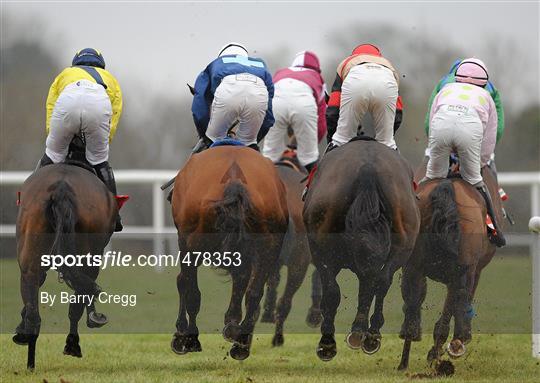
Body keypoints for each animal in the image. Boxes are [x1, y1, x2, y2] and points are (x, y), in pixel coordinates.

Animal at [171, 146, 288, 362]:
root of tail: (235, 179)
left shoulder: (186, 242)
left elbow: (185, 284)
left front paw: (182, 336)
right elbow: (241, 283)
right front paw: (232, 324)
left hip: (193, 243)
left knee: (191, 290)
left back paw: (190, 338)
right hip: (269, 248)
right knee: (253, 292)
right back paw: (241, 344)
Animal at [302, 139, 420, 364]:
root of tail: (368, 168)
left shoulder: (319, 252)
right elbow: (369, 285)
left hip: (322, 248)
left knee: (334, 289)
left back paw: (329, 342)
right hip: (403, 244)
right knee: (382, 281)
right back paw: (370, 334)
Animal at [396, 165, 502, 372]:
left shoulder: (415, 267)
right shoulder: (474, 271)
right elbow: (462, 303)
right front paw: (463, 336)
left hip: (415, 266)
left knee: (414, 307)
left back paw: (405, 362)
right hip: (461, 272)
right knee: (449, 310)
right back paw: (438, 353)